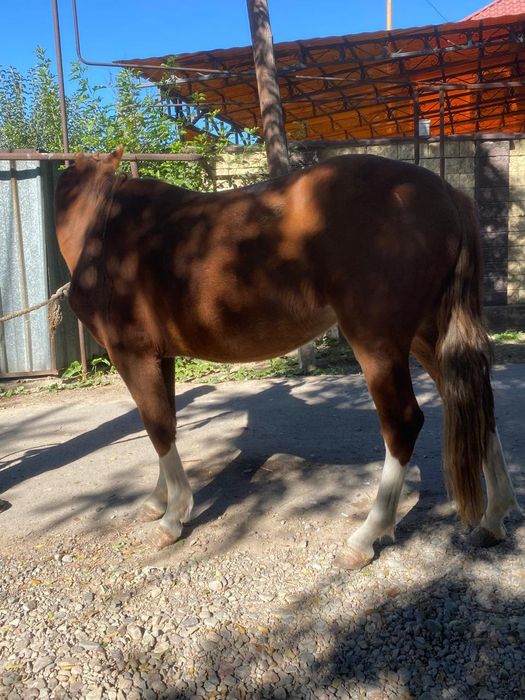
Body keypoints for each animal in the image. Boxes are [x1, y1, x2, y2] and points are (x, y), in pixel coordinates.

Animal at [54, 146, 519, 569]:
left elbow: (157, 426)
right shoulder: (159, 356)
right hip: (428, 334)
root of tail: (446, 193)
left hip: (378, 340)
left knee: (404, 422)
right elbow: (164, 420)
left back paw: (364, 538)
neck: (106, 226)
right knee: (476, 405)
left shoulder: (131, 353)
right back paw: (492, 520)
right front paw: (158, 501)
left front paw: (172, 518)